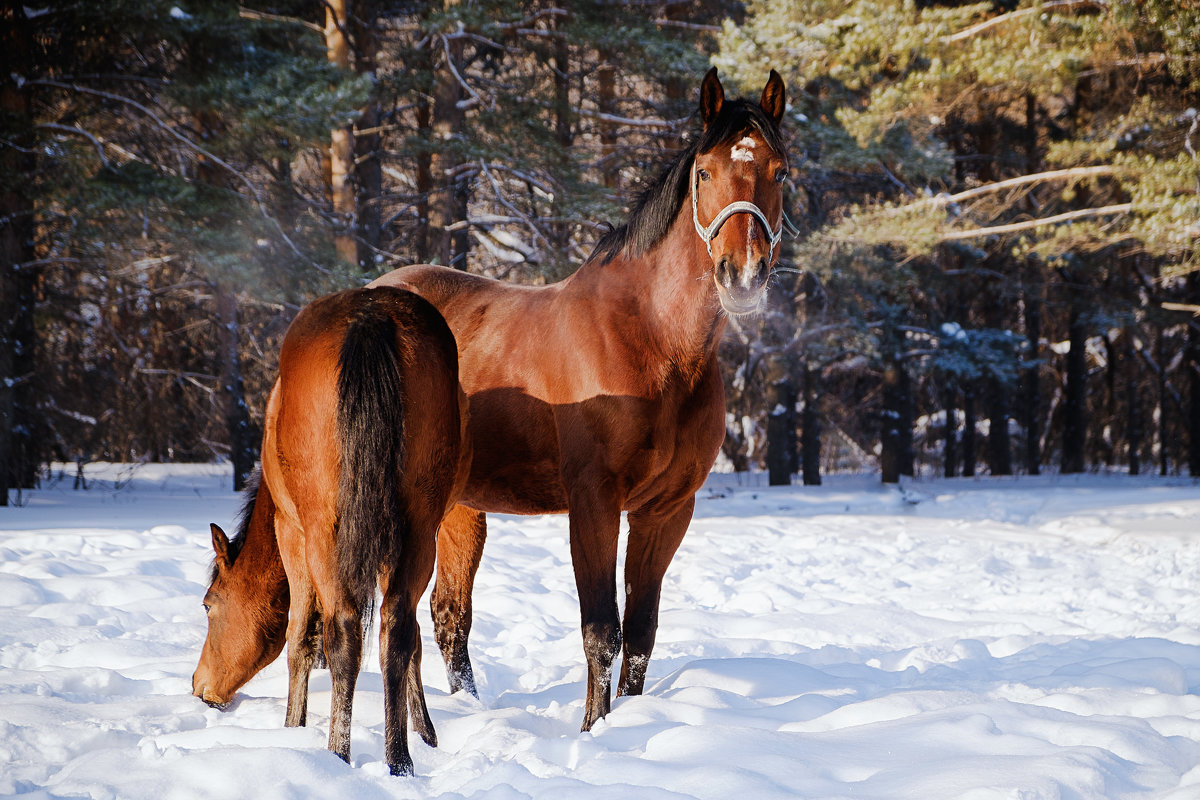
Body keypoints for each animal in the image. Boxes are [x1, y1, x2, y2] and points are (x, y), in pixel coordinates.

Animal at [189, 286, 465, 777]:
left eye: (208, 605)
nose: (199, 685)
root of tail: (371, 320)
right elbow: (412, 643)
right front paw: (426, 733)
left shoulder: (291, 532)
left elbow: (300, 637)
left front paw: (292, 727)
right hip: (418, 528)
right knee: (397, 632)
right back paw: (399, 760)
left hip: (324, 535)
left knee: (345, 635)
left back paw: (339, 751)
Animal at [369, 68, 792, 734]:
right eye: (704, 172)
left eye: (780, 172)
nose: (742, 276)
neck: (651, 342)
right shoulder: (593, 503)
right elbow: (602, 631)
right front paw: (595, 730)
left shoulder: (666, 511)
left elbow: (640, 632)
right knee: (401, 614)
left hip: (459, 508)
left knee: (445, 616)